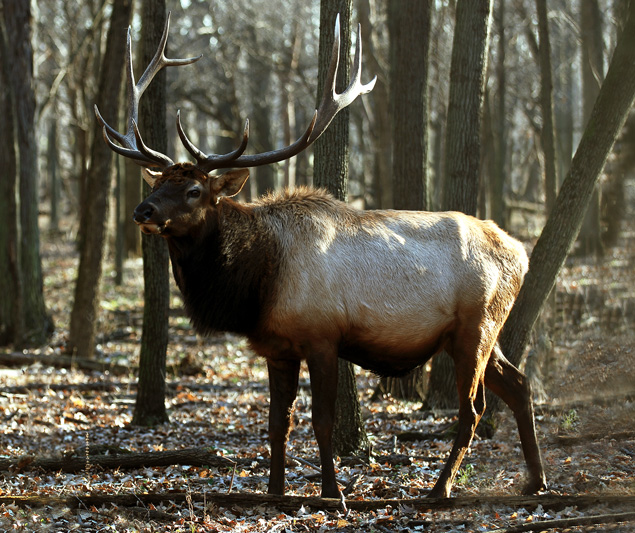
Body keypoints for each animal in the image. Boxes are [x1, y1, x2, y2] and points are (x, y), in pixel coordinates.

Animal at [95, 13, 548, 502]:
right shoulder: (276, 348)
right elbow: (278, 423)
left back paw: (440, 488)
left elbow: (322, 421)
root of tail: (520, 253)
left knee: (473, 406)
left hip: (476, 325)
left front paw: (333, 492)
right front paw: (275, 491)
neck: (257, 285)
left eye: (194, 190)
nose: (143, 211)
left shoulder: (323, 336)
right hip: (474, 332)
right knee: (519, 384)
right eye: (159, 183)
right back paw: (536, 479)